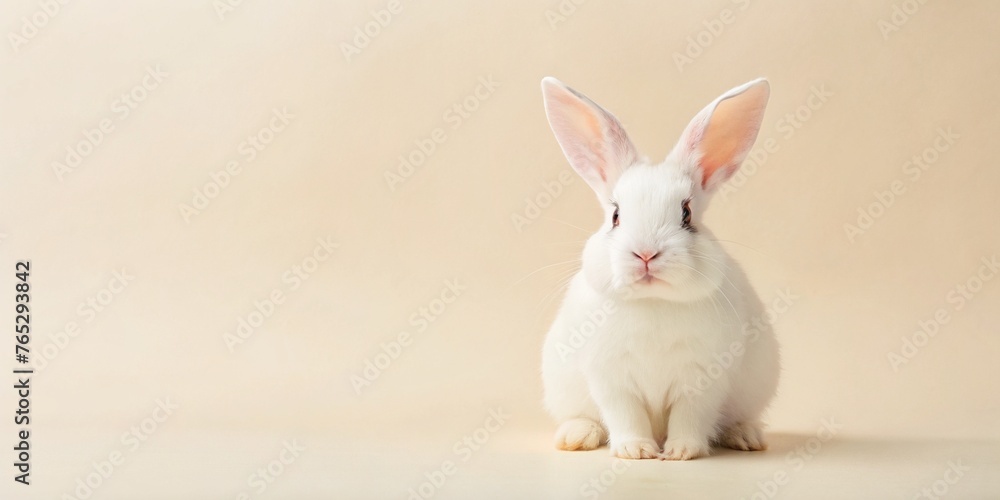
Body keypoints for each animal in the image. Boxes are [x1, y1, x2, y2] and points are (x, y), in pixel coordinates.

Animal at [539, 77, 780, 460]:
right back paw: (576, 436)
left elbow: (690, 416)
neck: (653, 302)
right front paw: (636, 451)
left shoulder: (702, 378)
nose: (646, 254)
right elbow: (626, 415)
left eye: (686, 214)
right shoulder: (611, 378)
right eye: (616, 215)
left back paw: (746, 437)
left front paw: (682, 452)